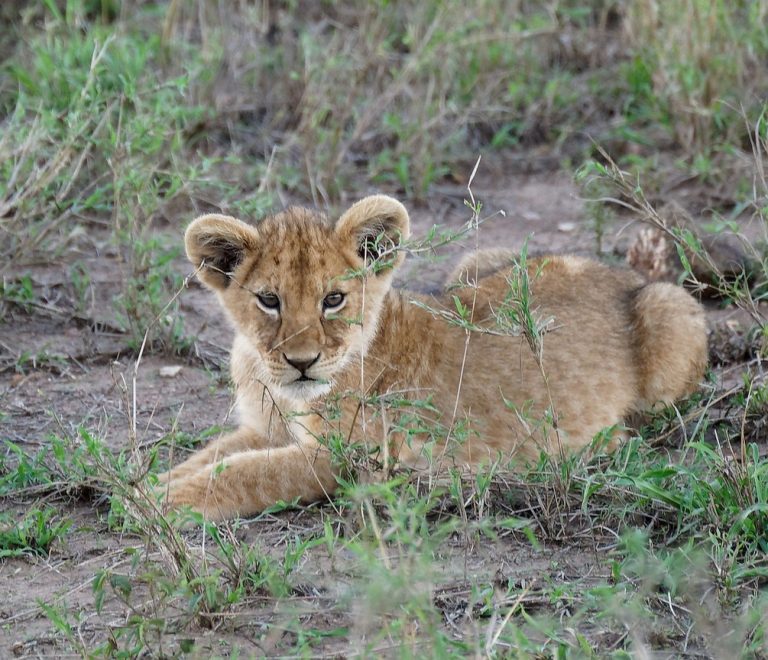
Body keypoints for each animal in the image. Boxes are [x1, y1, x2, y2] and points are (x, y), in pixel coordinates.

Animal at [156, 195, 708, 521]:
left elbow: (247, 473)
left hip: (668, 315)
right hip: (476, 263)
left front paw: (160, 501)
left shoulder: (350, 457)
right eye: (269, 300)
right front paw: (154, 482)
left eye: (333, 299)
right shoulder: (264, 430)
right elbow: (210, 457)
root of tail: (621, 275)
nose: (302, 361)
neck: (280, 389)